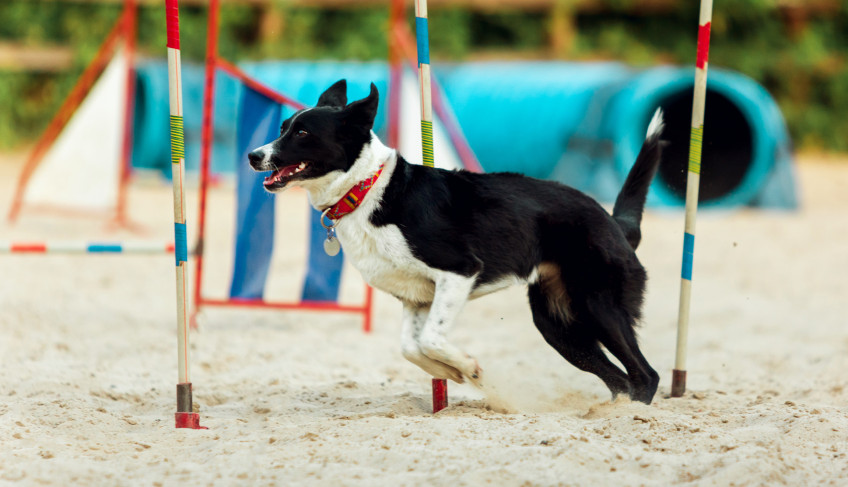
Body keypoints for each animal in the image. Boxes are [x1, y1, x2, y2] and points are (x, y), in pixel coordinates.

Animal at [248, 80, 664, 406]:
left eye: (303, 134)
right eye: (283, 127)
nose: (253, 155)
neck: (366, 190)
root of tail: (614, 222)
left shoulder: (459, 272)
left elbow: (431, 338)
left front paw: (468, 368)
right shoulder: (416, 297)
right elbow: (411, 347)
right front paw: (450, 372)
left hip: (600, 306)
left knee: (646, 375)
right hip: (559, 327)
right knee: (620, 378)